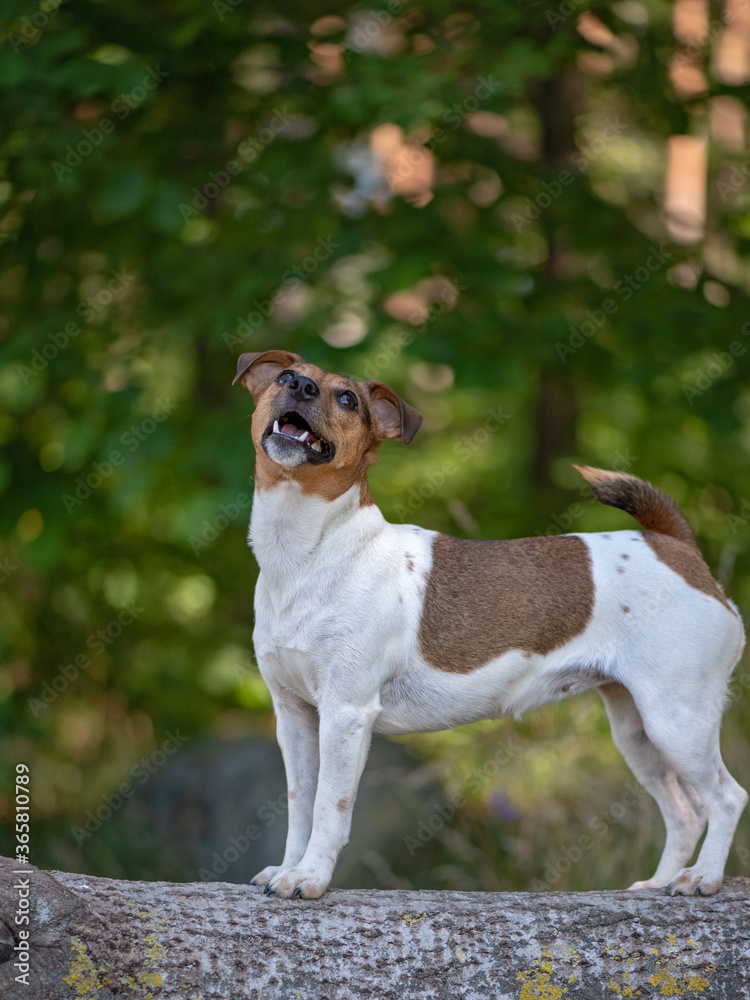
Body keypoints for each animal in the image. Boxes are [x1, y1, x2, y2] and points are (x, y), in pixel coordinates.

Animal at [234, 350, 748, 900]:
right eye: (286, 377)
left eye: (347, 399)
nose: (302, 387)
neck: (310, 553)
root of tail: (675, 546)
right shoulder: (295, 717)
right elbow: (299, 807)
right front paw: (288, 868)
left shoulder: (345, 714)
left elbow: (329, 808)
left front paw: (310, 877)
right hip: (638, 732)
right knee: (685, 812)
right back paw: (659, 882)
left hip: (677, 722)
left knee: (726, 797)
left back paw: (704, 877)